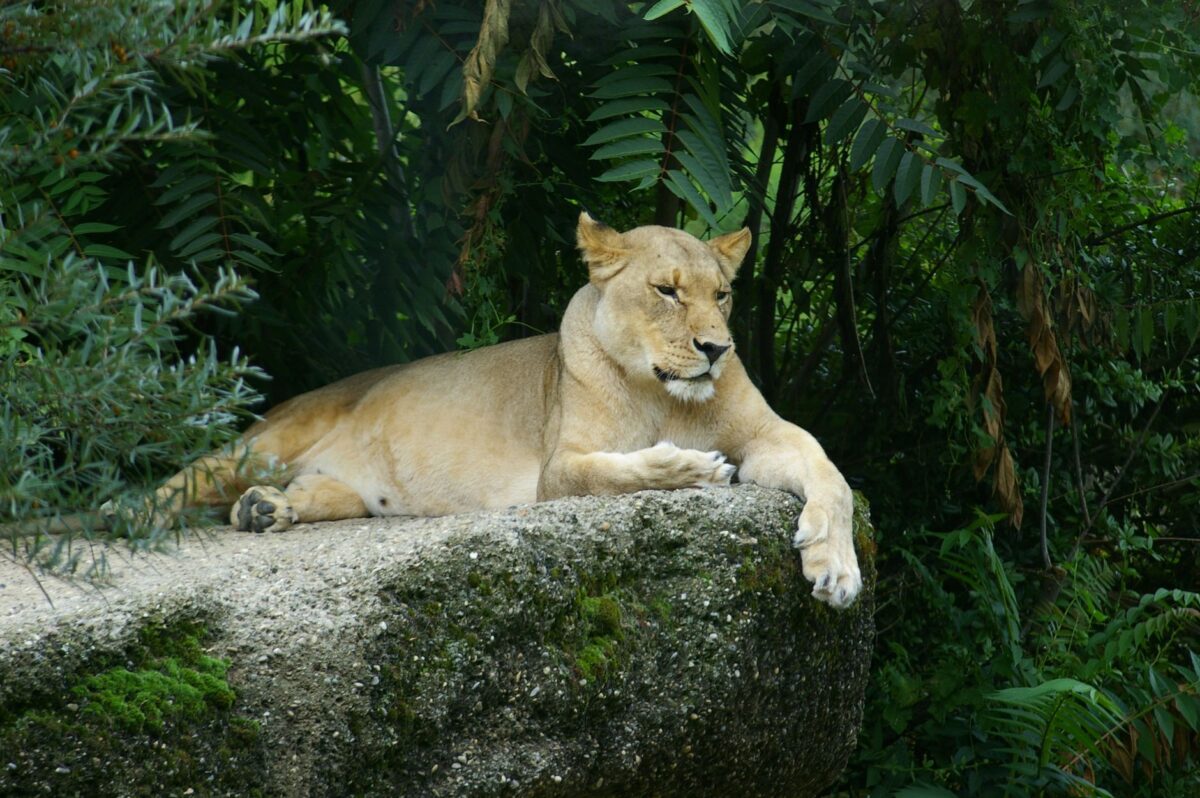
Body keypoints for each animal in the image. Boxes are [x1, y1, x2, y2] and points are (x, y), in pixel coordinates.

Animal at [146, 212, 862, 608]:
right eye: (666, 290)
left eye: (723, 295)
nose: (716, 349)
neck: (667, 397)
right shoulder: (558, 469)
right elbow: (622, 469)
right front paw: (695, 468)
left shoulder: (767, 434)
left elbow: (831, 474)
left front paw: (837, 567)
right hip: (269, 438)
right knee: (176, 485)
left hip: (339, 486)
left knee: (310, 493)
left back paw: (266, 509)